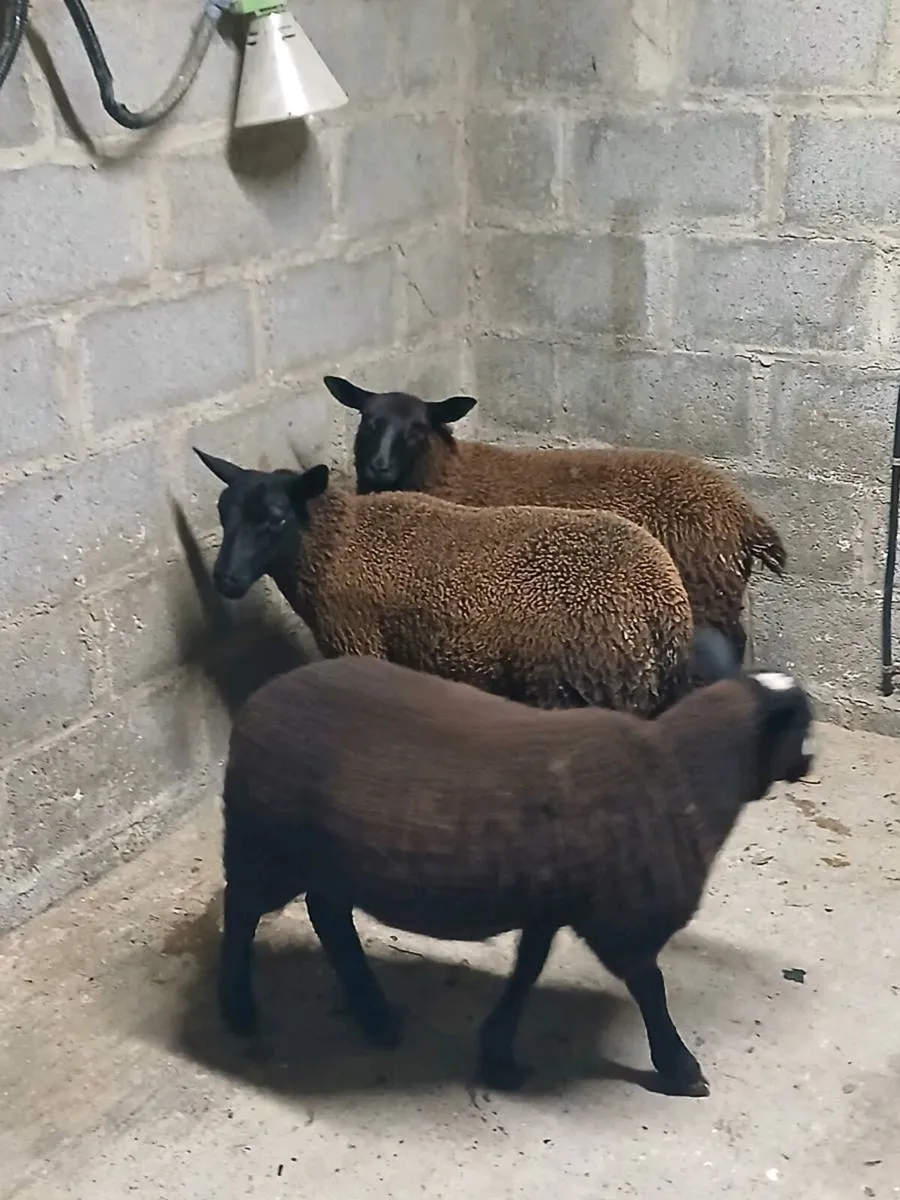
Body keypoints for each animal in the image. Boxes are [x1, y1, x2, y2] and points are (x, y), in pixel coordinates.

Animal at [194, 447, 698, 717]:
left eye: (276, 518)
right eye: (222, 512)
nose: (225, 579)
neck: (338, 544)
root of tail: (665, 605)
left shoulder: (357, 641)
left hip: (580, 685)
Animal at [217, 645, 815, 1095]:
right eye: (802, 725)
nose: (811, 762)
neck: (684, 775)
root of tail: (257, 703)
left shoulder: (552, 902)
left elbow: (529, 968)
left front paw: (498, 1052)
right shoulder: (623, 919)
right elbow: (650, 987)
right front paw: (679, 1067)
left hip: (326, 859)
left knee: (328, 916)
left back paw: (375, 1015)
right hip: (263, 846)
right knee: (242, 913)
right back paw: (239, 1010)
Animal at [321, 374, 788, 665]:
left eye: (417, 429)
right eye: (368, 421)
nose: (379, 466)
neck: (447, 472)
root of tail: (742, 511)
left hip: (708, 593)